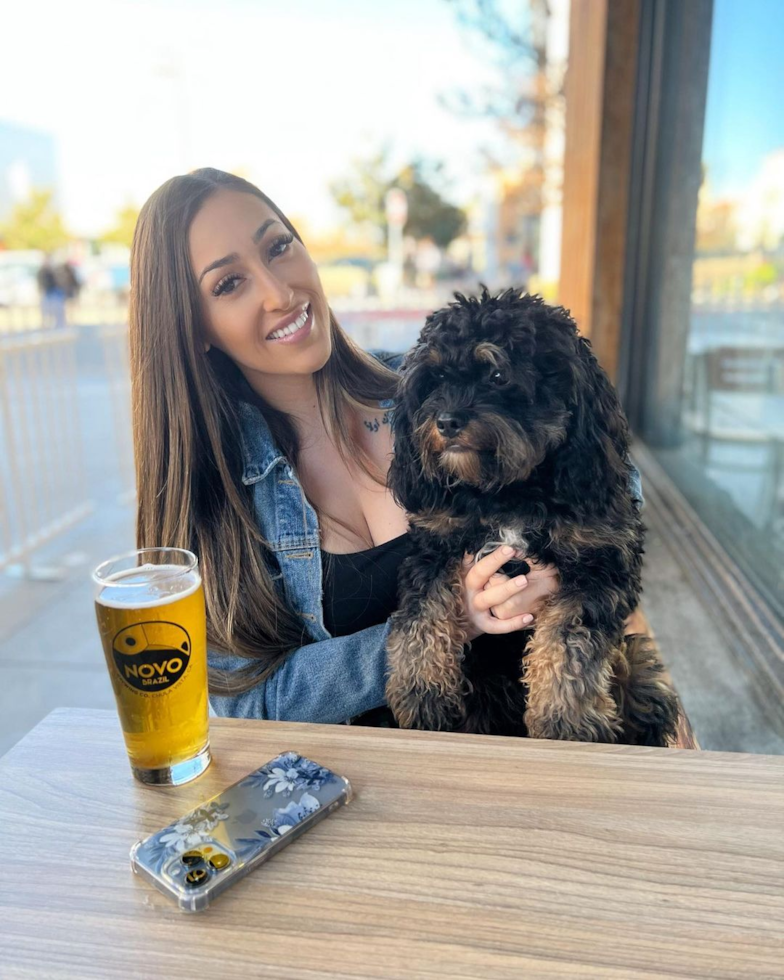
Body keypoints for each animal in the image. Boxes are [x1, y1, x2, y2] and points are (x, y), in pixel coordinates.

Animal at [386, 288, 680, 748]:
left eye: (497, 376)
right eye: (434, 380)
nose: (446, 421)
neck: (510, 491)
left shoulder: (600, 565)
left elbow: (568, 642)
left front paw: (565, 723)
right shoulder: (434, 547)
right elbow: (422, 616)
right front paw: (421, 693)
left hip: (639, 664)